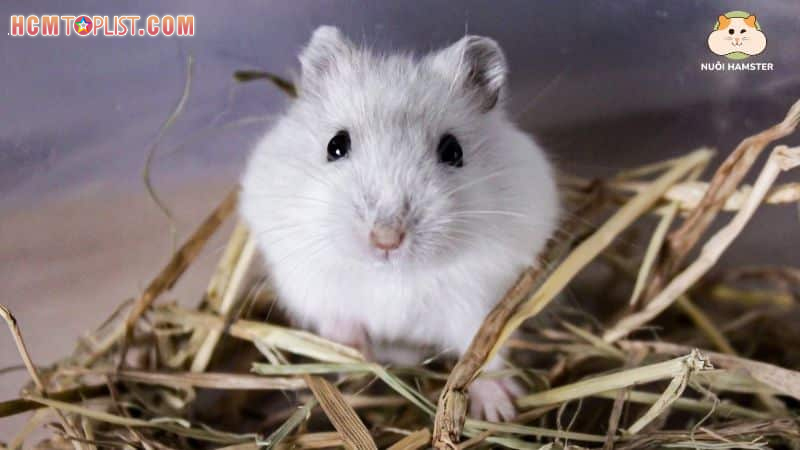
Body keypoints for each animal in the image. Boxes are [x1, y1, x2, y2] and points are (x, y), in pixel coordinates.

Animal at [240, 26, 559, 421]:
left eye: (453, 151)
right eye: (335, 145)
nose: (386, 239)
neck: (392, 276)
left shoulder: (478, 298)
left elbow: (480, 349)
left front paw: (500, 411)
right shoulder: (316, 286)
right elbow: (341, 323)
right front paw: (354, 357)